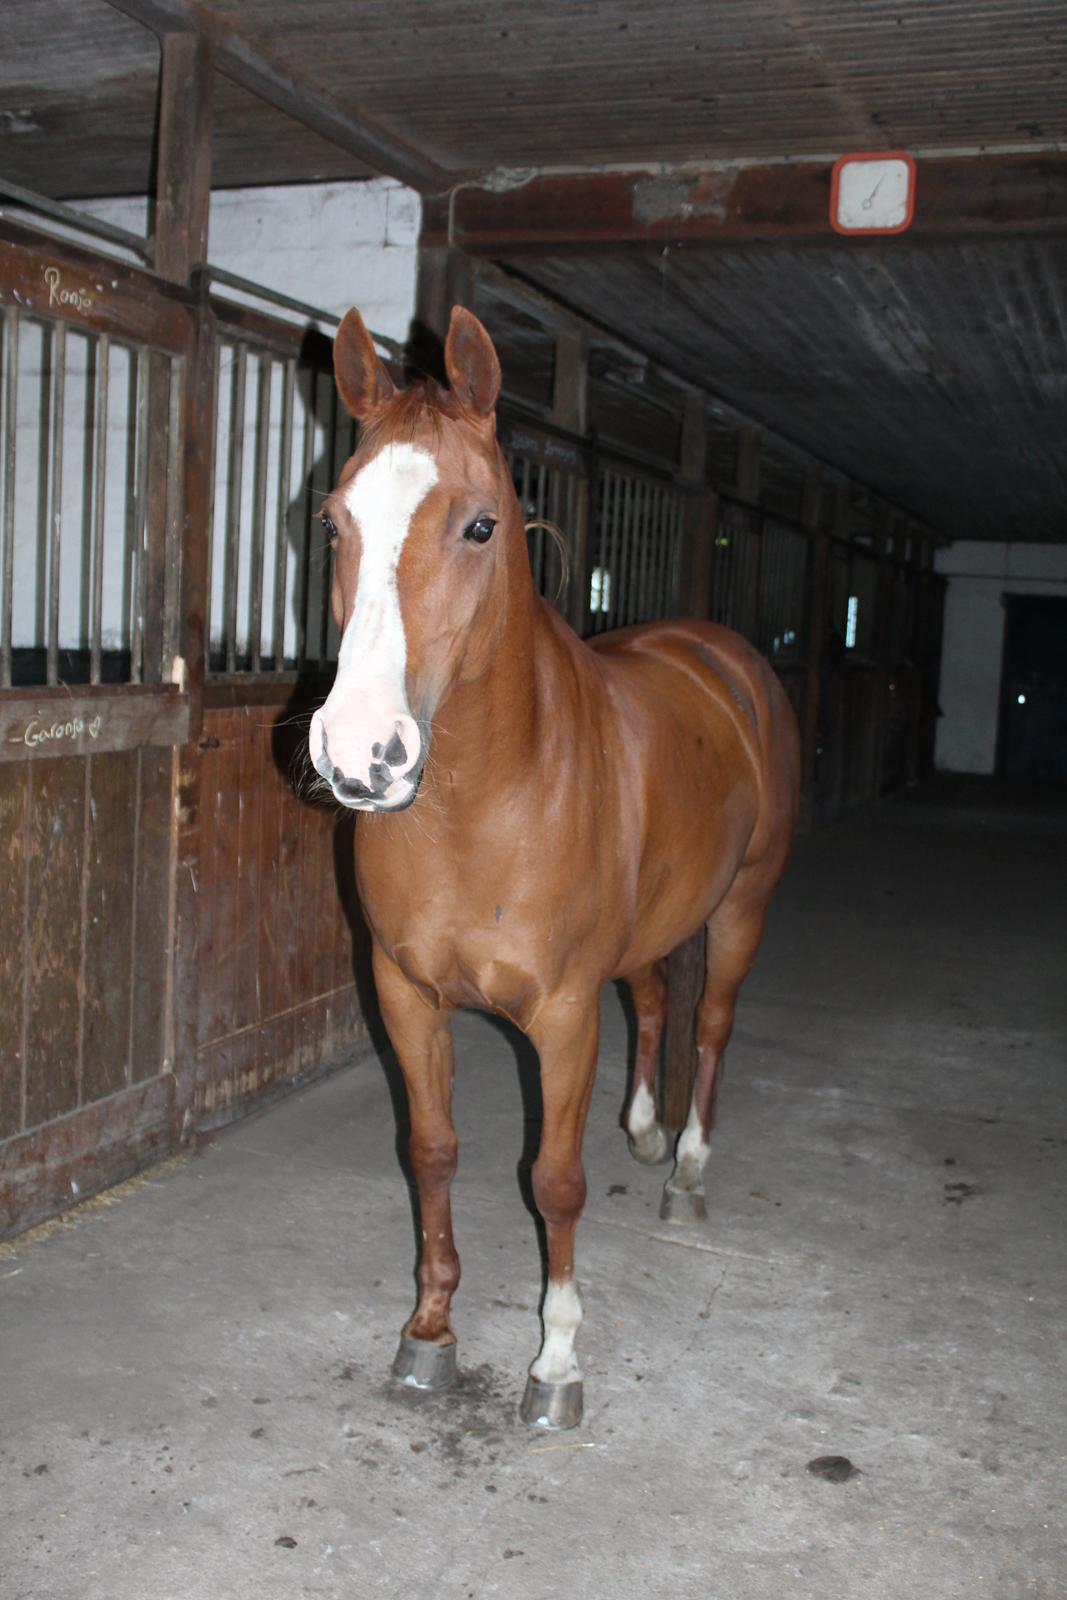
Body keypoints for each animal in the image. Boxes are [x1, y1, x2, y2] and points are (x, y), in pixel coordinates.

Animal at [308, 305, 799, 1433]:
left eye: (481, 526)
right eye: (333, 523)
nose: (360, 753)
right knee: (656, 1003)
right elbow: (432, 1151)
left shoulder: (565, 1015)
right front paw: (428, 1337)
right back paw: (646, 1132)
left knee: (710, 1025)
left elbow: (555, 1179)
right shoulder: (406, 995)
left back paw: (686, 1169)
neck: (484, 802)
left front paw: (557, 1366)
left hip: (740, 909)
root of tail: (721, 656)